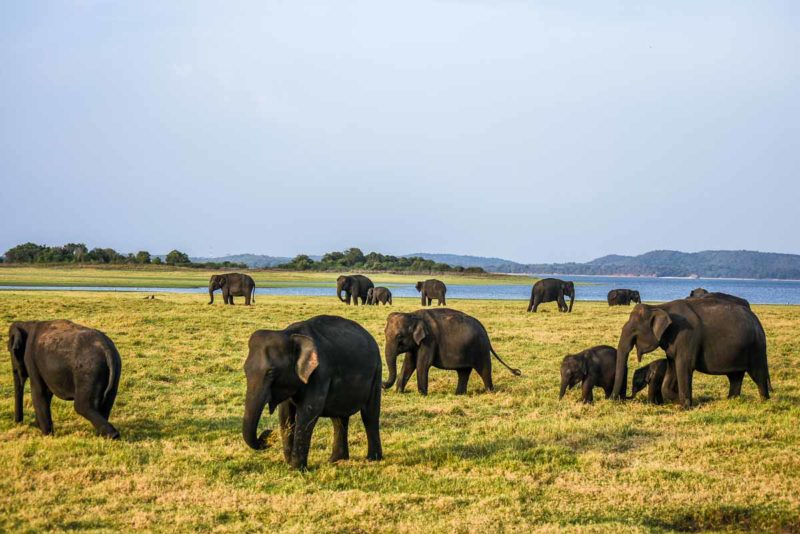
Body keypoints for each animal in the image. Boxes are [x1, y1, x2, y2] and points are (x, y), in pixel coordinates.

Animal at [241, 316, 382, 472]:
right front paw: (289, 464)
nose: (267, 436)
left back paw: (372, 459)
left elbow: (308, 411)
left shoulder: (320, 373)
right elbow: (285, 413)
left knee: (369, 415)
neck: (289, 334)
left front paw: (297, 469)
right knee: (339, 418)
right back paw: (336, 460)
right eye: (245, 370)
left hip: (377, 373)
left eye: (271, 372)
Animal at [382, 310, 520, 398]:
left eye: (400, 336)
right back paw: (459, 394)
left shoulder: (429, 341)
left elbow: (422, 365)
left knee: (484, 369)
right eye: (384, 333)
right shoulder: (416, 344)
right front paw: (399, 392)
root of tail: (484, 330)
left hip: (480, 348)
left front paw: (422, 394)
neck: (412, 315)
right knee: (463, 372)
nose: (382, 384)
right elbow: (409, 364)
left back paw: (490, 392)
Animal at [612, 300, 776, 408]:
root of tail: (757, 321)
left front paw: (684, 406)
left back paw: (764, 402)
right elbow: (672, 368)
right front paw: (678, 400)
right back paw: (731, 400)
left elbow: (684, 367)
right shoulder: (672, 344)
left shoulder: (686, 337)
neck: (659, 307)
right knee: (735, 377)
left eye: (634, 333)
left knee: (758, 375)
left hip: (756, 348)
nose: (614, 400)